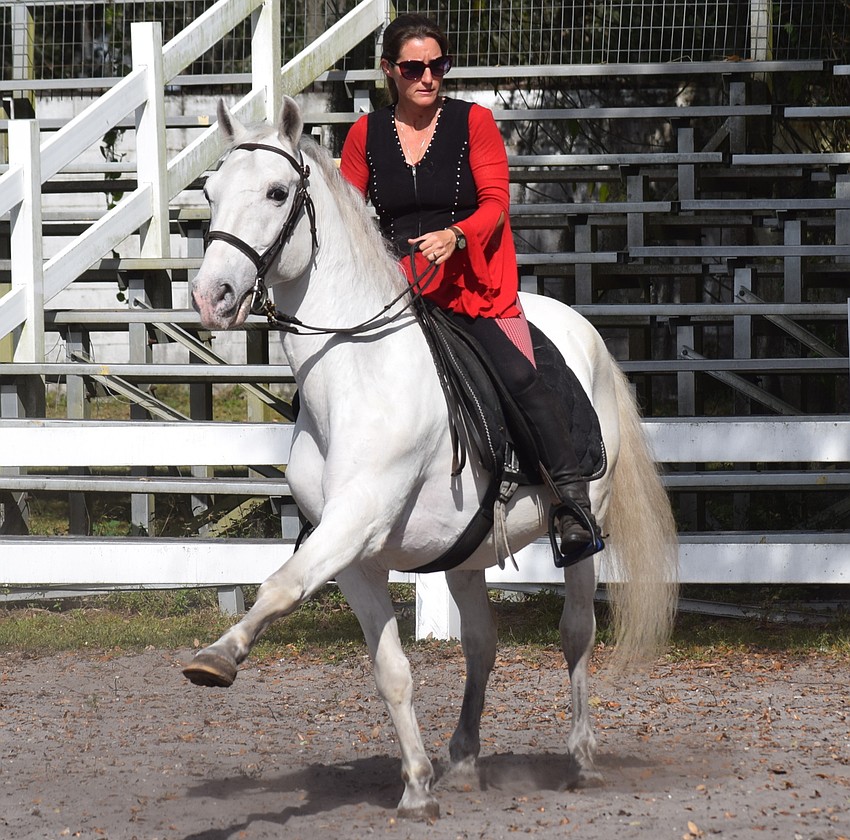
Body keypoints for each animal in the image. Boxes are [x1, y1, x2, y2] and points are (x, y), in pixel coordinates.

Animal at [185, 96, 679, 820]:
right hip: (464, 551)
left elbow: (279, 586)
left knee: (575, 632)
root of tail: (579, 326)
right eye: (211, 193)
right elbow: (390, 670)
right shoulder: (353, 556)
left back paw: (582, 756)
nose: (211, 296)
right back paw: (463, 758)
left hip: (586, 520)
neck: (357, 373)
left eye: (277, 193)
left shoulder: (354, 521)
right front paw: (417, 786)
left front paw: (219, 657)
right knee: (481, 644)